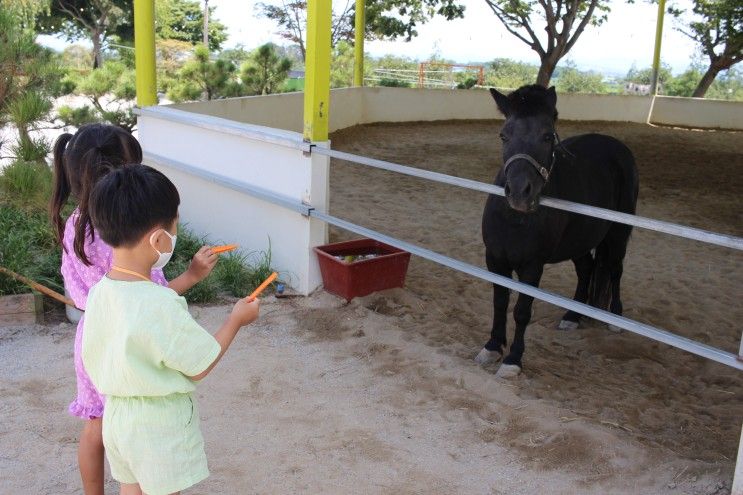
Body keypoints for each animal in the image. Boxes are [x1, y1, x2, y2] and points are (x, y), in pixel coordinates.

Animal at [482, 86, 640, 380]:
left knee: (615, 269)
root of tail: (617, 147)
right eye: (503, 135)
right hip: (579, 241)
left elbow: (522, 311)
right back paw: (572, 317)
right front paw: (492, 347)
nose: (520, 191)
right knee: (587, 270)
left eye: (547, 136)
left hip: (617, 234)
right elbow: (499, 301)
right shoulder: (495, 259)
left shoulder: (532, 266)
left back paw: (615, 317)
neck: (516, 219)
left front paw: (513, 360)